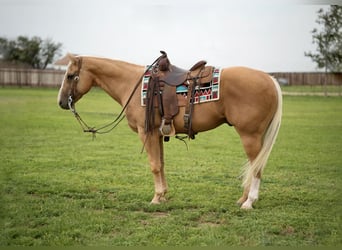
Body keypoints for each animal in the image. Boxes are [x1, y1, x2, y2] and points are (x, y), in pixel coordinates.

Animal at [58, 54, 284, 209]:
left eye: (70, 76)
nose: (61, 102)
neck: (133, 84)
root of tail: (270, 79)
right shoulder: (157, 134)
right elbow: (161, 164)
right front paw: (164, 195)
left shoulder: (146, 133)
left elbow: (154, 166)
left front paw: (156, 198)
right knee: (254, 165)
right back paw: (243, 198)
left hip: (250, 135)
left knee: (256, 167)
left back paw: (249, 202)